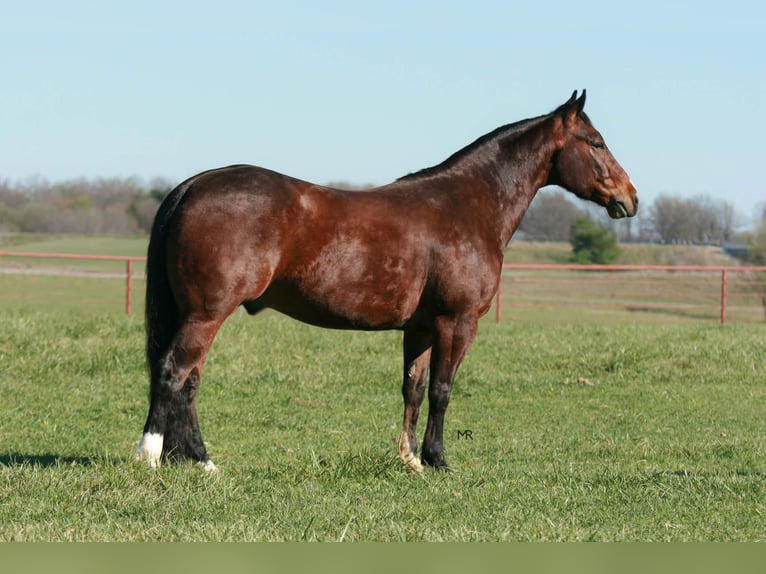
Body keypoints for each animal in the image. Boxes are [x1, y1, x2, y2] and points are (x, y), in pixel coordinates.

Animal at [135, 90, 637, 472]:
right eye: (596, 142)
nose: (629, 198)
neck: (467, 205)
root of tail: (194, 185)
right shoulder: (457, 323)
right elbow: (442, 389)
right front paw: (438, 460)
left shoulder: (421, 328)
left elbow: (413, 388)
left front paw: (410, 460)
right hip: (206, 314)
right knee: (173, 371)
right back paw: (151, 455)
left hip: (198, 315)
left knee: (188, 381)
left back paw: (200, 461)